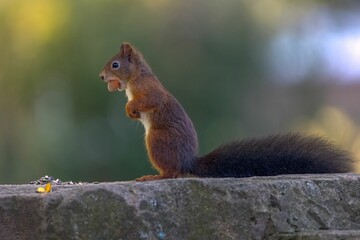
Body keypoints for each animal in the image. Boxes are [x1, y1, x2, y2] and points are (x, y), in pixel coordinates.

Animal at [99, 43, 354, 182]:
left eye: (115, 64)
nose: (101, 77)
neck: (135, 77)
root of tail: (188, 162)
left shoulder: (148, 90)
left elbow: (150, 100)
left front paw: (130, 109)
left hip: (157, 141)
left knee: (172, 173)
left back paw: (154, 176)